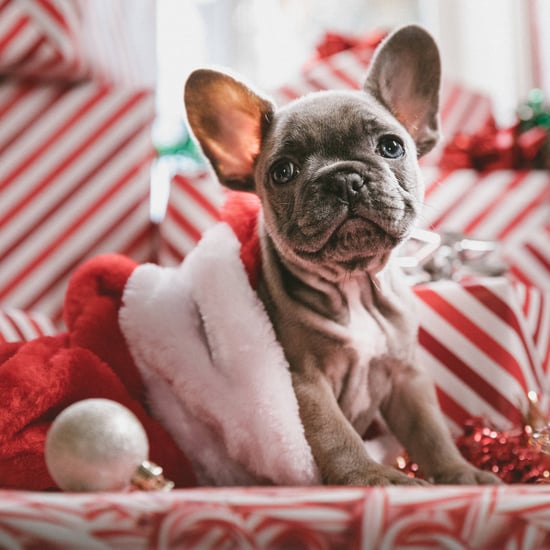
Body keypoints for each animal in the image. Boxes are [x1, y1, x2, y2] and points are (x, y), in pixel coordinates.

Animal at [183, 24, 502, 488]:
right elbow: (336, 435)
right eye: (282, 171)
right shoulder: (304, 383)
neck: (354, 284)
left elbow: (431, 431)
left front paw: (460, 473)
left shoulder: (406, 376)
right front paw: (374, 477)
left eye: (391, 147)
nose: (344, 178)